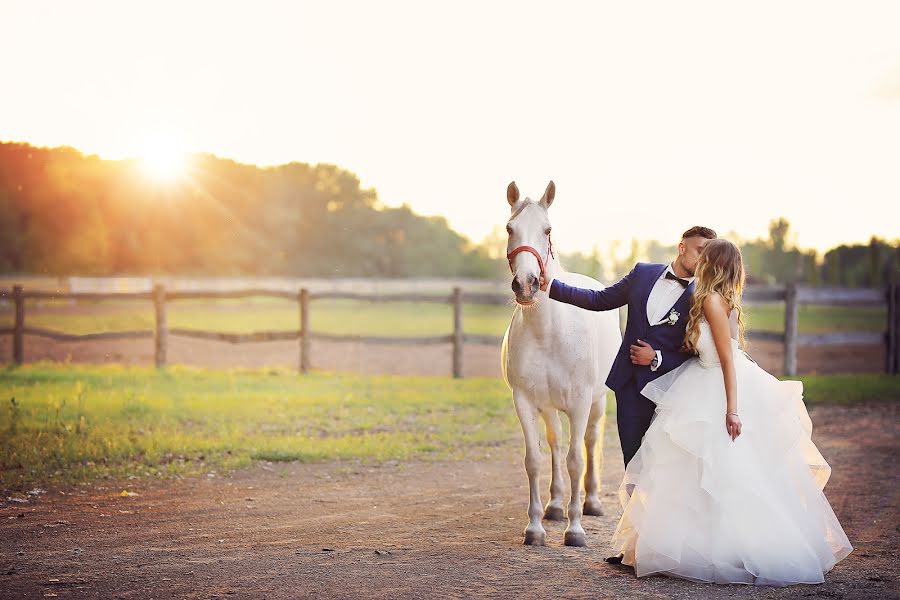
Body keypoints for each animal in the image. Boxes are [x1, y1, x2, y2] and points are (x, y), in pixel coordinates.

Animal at [500, 180, 620, 548]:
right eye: (510, 228)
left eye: (547, 229)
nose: (525, 285)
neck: (549, 332)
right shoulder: (524, 401)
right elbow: (535, 460)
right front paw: (535, 527)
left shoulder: (580, 403)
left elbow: (576, 460)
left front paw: (575, 529)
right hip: (550, 406)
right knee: (554, 444)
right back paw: (554, 507)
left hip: (597, 402)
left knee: (590, 442)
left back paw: (591, 502)